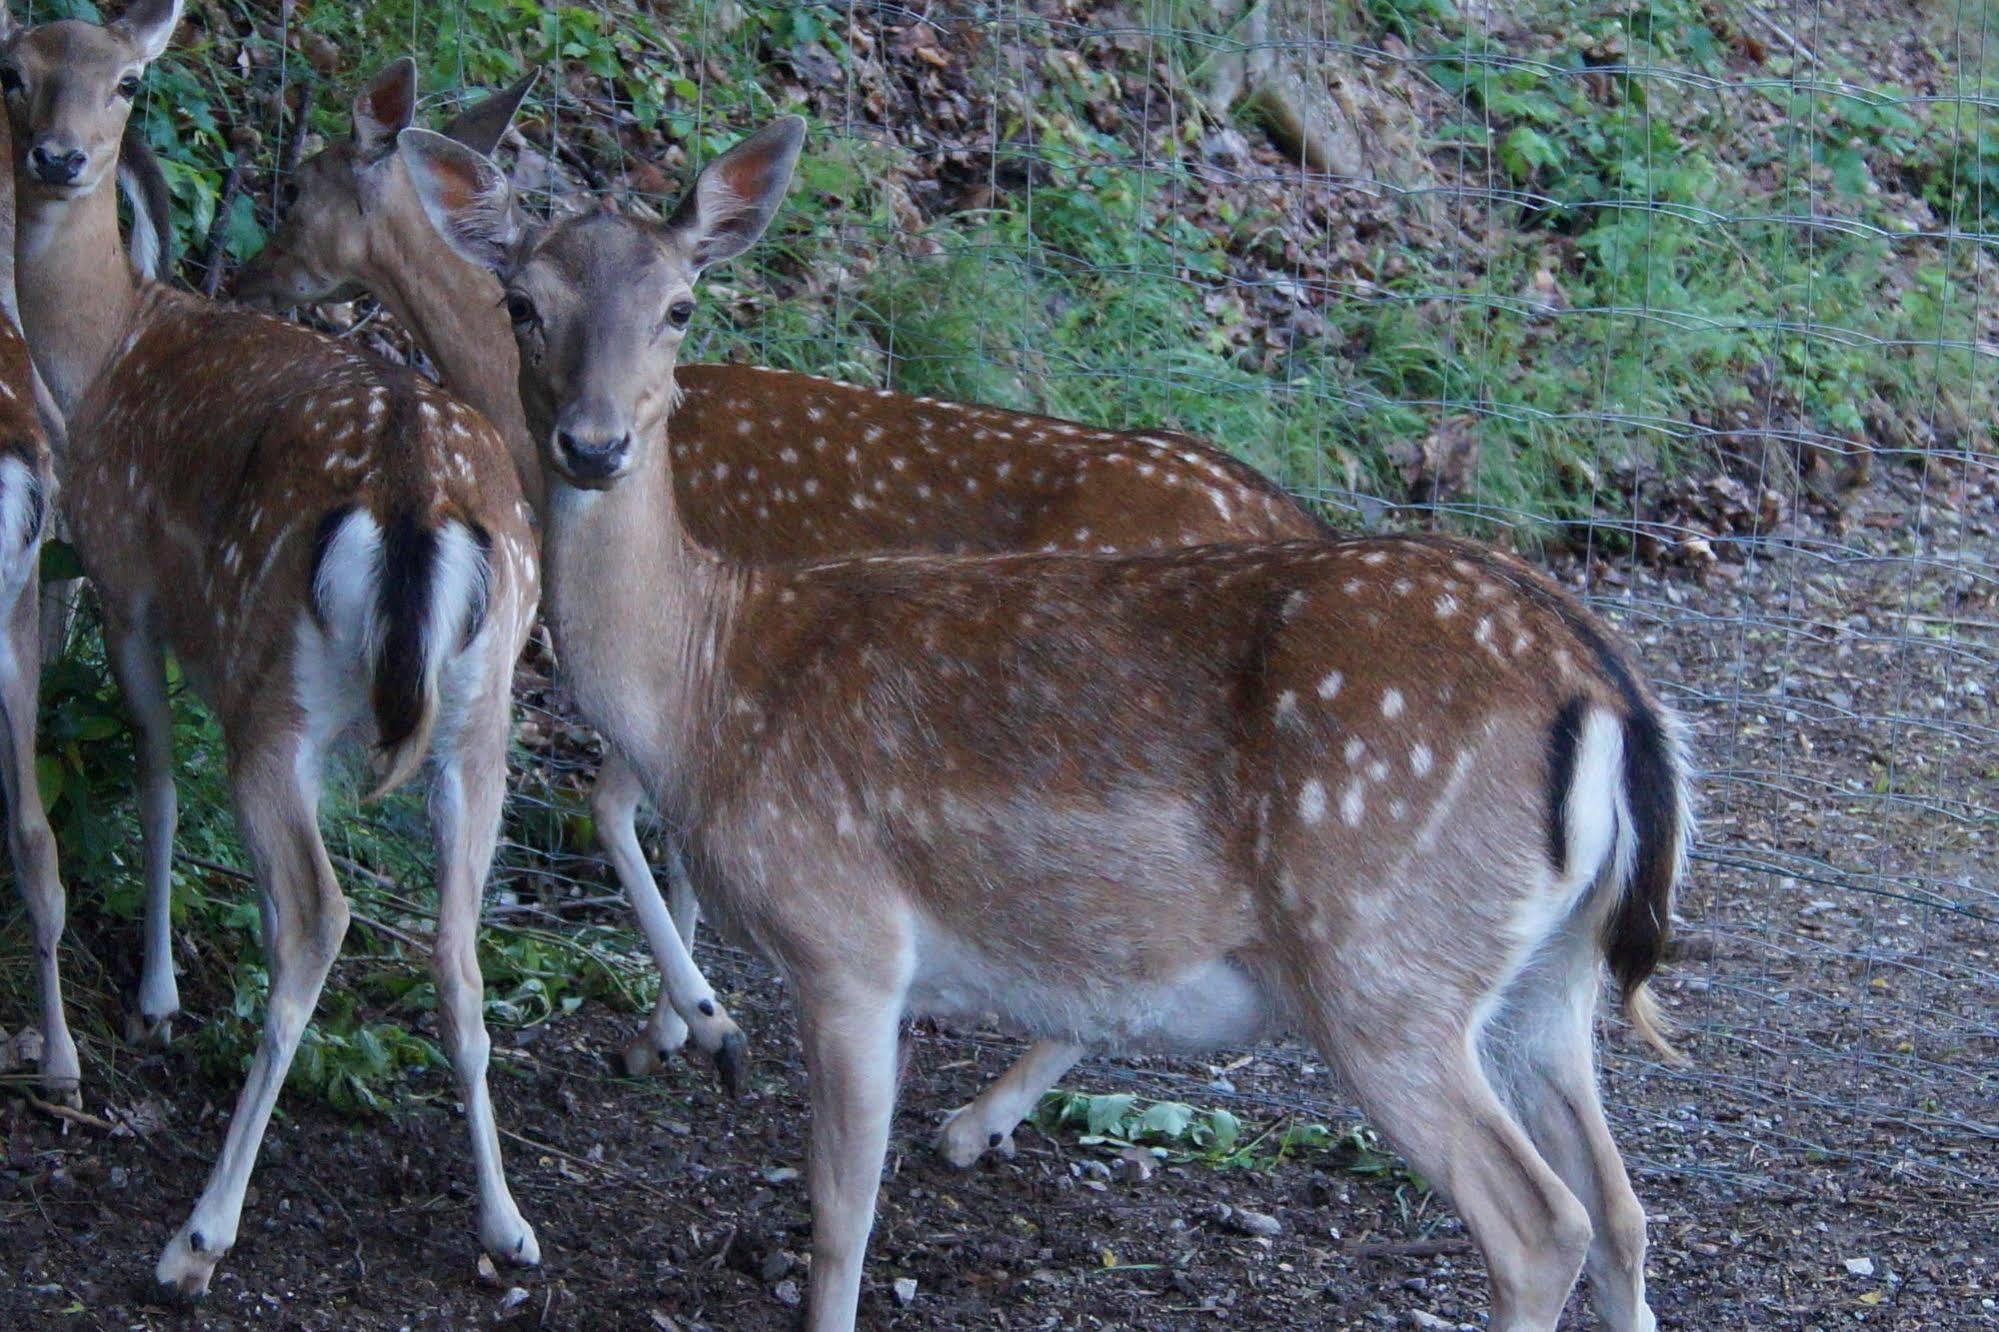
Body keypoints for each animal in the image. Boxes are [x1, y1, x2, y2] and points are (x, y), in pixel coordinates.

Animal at [3, 0, 543, 1288]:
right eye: (13, 72)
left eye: (128, 83)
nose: (58, 159)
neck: (107, 345)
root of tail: (413, 500)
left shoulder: (129, 583)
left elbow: (153, 771)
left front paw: (155, 996)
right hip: (479, 721)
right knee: (455, 950)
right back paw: (507, 1224)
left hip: (278, 697)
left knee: (319, 918)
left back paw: (199, 1234)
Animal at [233, 57, 1327, 1152]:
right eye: (524, 303)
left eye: (301, 185)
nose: (246, 279)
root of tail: (1287, 512)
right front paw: (675, 1026)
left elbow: (613, 810)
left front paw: (695, 1024)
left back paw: (974, 1119)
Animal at [401, 116, 1687, 1328]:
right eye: (523, 302)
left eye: (679, 306)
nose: (592, 443)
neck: (710, 685)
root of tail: (1607, 697)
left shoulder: (845, 938)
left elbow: (839, 1218)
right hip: (1547, 980)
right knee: (1623, 1208)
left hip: (1384, 963)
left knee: (1543, 1223)